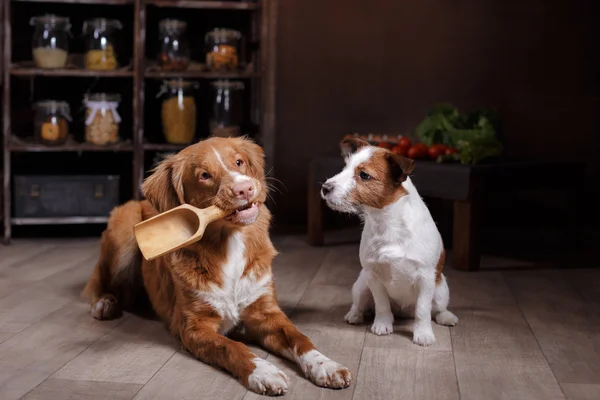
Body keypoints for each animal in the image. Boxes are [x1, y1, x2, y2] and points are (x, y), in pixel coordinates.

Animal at [80, 138, 352, 396]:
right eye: (204, 175)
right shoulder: (194, 327)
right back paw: (104, 303)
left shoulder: (267, 313)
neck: (229, 242)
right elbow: (230, 346)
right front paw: (262, 371)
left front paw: (325, 365)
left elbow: (300, 337)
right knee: (100, 281)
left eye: (239, 162)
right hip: (125, 226)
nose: (245, 188)